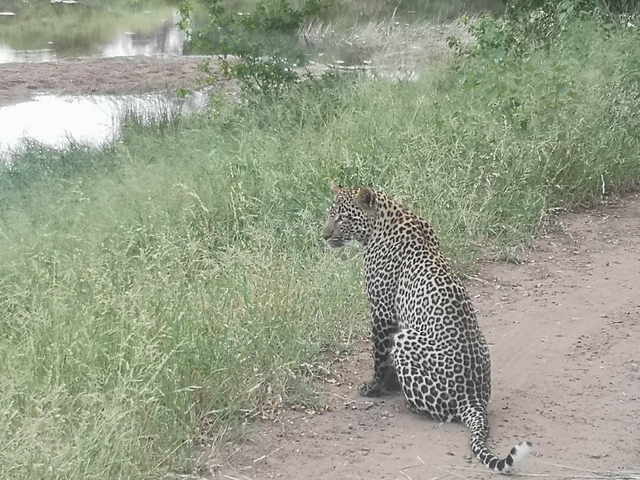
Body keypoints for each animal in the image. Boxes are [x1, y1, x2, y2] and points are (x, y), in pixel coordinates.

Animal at [322, 183, 532, 474]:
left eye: (342, 218)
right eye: (329, 215)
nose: (324, 235)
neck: (384, 219)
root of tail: (474, 401)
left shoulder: (382, 312)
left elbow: (379, 356)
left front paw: (375, 388)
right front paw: (389, 384)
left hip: (406, 338)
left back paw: (407, 403)